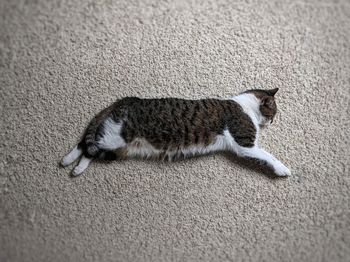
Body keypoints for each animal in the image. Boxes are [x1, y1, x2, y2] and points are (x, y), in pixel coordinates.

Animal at [60, 89, 290, 177]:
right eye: (274, 112)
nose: (273, 121)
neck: (246, 106)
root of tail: (124, 100)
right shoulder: (245, 143)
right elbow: (268, 156)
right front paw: (283, 169)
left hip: (116, 144)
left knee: (87, 145)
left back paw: (73, 165)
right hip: (116, 136)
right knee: (88, 146)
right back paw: (71, 164)